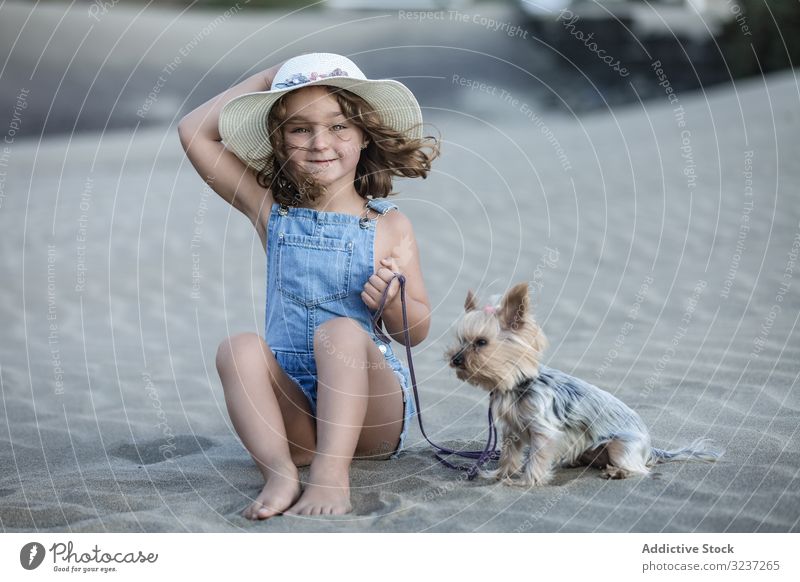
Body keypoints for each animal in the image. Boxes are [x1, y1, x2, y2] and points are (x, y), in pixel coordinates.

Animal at [446, 282, 720, 488]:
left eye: (481, 343)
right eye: (460, 341)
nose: (455, 359)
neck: (517, 386)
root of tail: (651, 448)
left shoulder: (544, 432)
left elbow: (535, 458)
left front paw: (526, 482)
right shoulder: (512, 431)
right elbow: (508, 457)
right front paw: (499, 476)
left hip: (621, 446)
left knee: (639, 469)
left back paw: (618, 472)